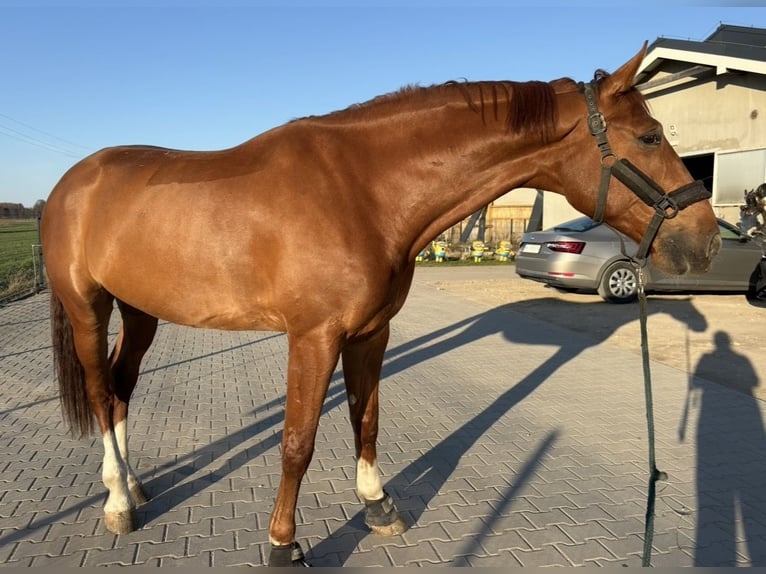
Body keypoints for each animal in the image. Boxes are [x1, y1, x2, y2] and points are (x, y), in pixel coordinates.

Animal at [41, 44, 720, 567]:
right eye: (649, 136)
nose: (708, 241)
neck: (361, 190)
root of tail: (72, 183)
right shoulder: (313, 337)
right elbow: (298, 441)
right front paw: (283, 545)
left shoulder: (371, 333)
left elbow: (365, 419)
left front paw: (378, 505)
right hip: (87, 307)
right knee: (100, 391)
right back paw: (117, 502)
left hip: (141, 311)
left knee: (122, 390)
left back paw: (133, 485)